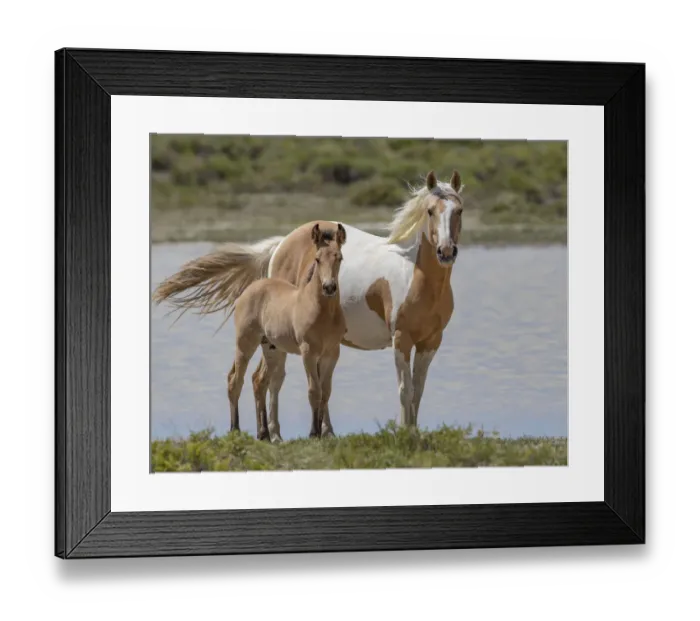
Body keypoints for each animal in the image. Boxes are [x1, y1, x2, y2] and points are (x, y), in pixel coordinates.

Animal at [152, 170, 464, 442]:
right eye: (430, 211)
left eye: (458, 210)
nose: (446, 251)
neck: (416, 276)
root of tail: (281, 244)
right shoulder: (401, 339)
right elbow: (404, 389)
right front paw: (404, 433)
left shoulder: (430, 342)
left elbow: (418, 390)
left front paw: (414, 432)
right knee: (266, 379)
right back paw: (275, 434)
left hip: (276, 341)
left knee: (264, 379)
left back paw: (277, 434)